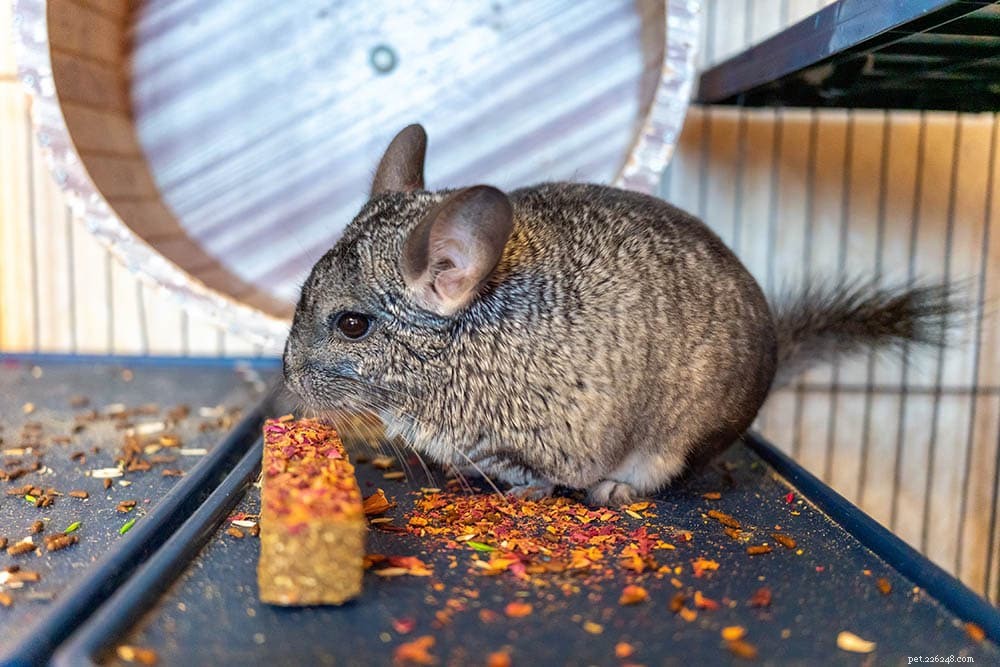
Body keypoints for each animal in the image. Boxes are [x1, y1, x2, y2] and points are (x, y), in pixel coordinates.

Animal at [283, 124, 956, 505]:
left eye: (351, 324)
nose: (287, 378)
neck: (465, 338)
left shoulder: (547, 436)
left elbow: (538, 474)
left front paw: (522, 490)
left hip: (678, 438)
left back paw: (615, 490)